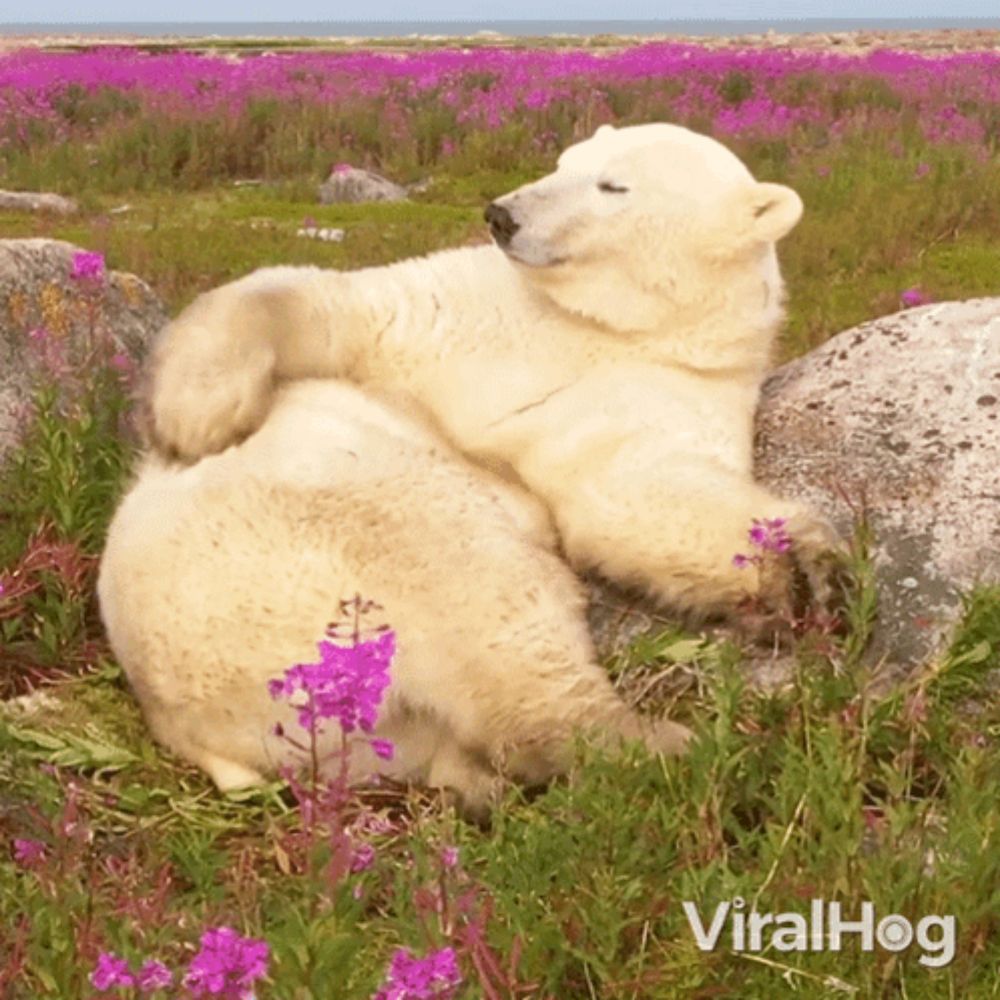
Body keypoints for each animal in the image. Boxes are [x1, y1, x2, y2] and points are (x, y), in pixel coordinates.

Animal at [145, 121, 840, 620]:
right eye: (563, 160)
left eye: (612, 185)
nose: (502, 215)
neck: (604, 326)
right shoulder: (471, 314)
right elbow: (336, 305)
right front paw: (198, 413)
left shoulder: (662, 389)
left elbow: (637, 492)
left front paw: (806, 569)